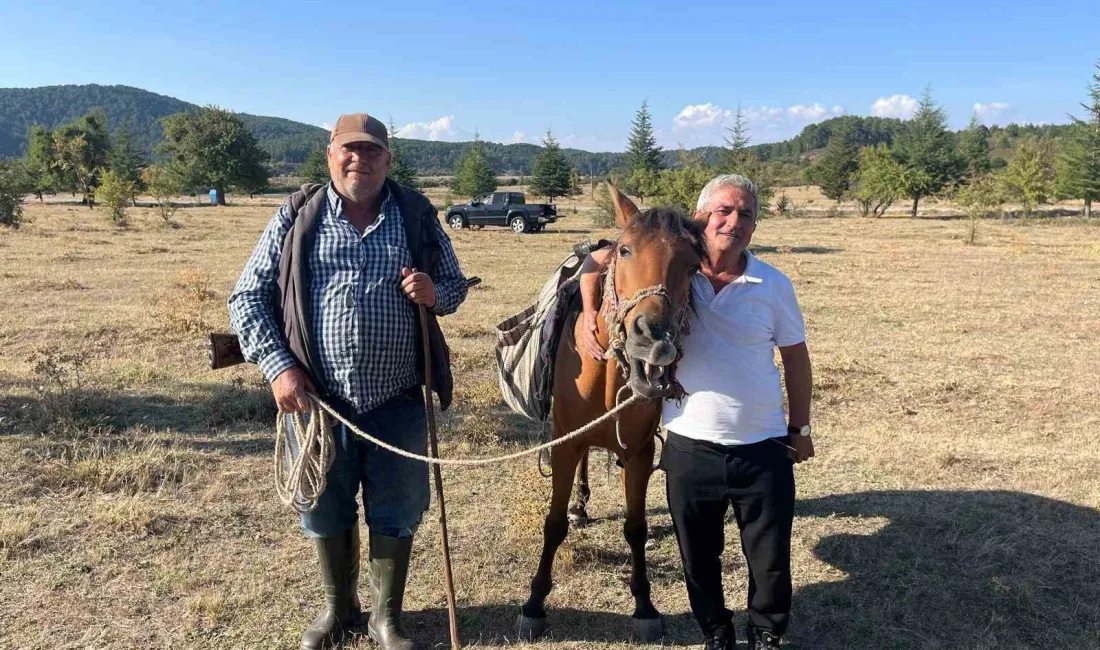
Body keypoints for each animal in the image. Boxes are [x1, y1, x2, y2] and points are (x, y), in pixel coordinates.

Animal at [514, 186, 704, 642]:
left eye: (694, 265)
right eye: (625, 249)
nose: (654, 339)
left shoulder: (637, 454)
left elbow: (635, 528)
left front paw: (645, 607)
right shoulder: (564, 446)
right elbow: (553, 524)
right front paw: (534, 603)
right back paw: (579, 506)